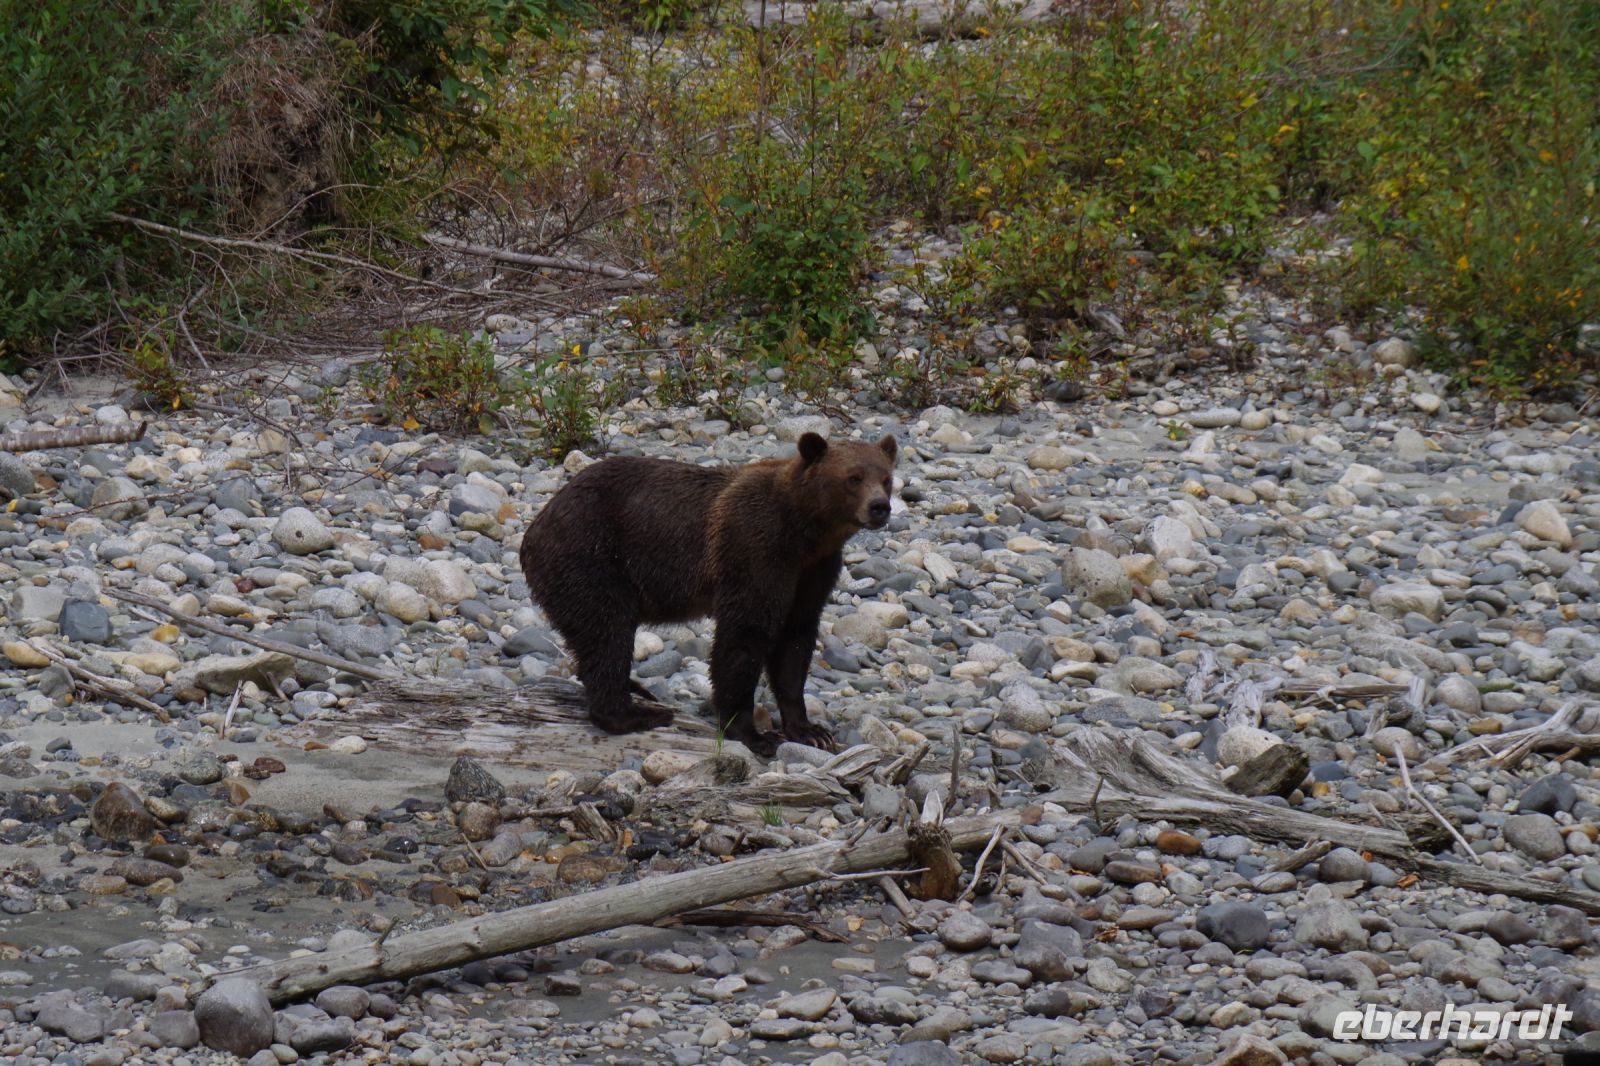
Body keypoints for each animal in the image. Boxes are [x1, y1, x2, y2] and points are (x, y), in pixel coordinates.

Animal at [519, 432, 898, 756]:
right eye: (853, 477)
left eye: (886, 478)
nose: (880, 507)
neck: (806, 532)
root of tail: (536, 526)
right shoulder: (756, 550)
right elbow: (744, 636)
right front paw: (753, 733)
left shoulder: (814, 571)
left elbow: (795, 640)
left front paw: (809, 730)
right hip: (591, 556)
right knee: (607, 631)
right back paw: (636, 713)